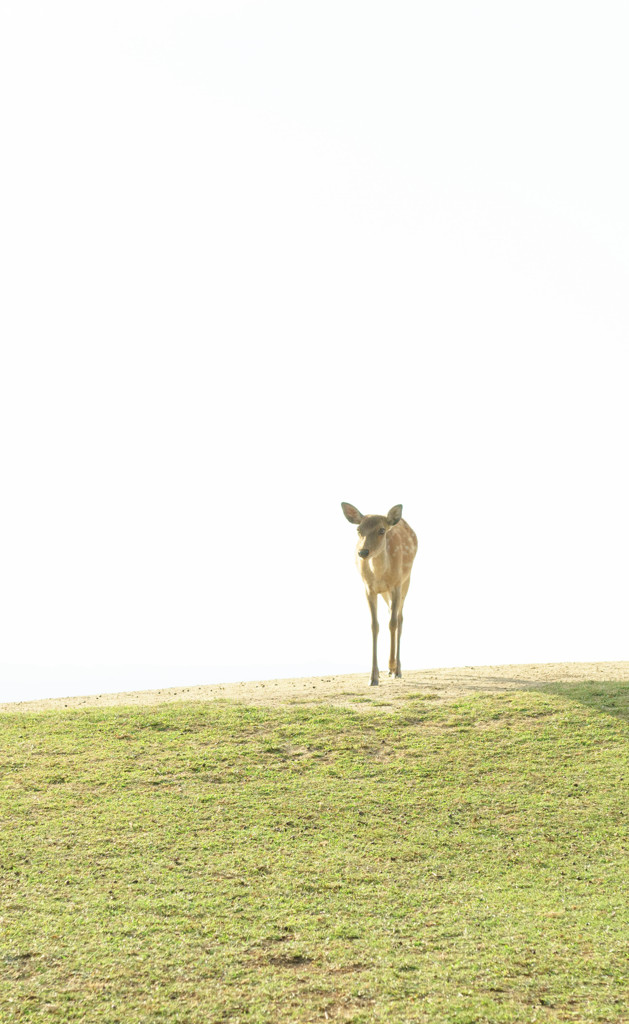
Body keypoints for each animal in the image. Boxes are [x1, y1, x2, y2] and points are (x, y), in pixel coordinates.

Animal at [342, 503, 415, 688]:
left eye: (382, 530)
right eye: (358, 530)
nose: (363, 552)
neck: (381, 575)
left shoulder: (396, 584)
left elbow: (393, 623)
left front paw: (392, 666)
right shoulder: (369, 588)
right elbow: (374, 625)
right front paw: (373, 677)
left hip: (406, 580)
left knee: (399, 618)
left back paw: (397, 669)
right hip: (386, 592)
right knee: (392, 613)